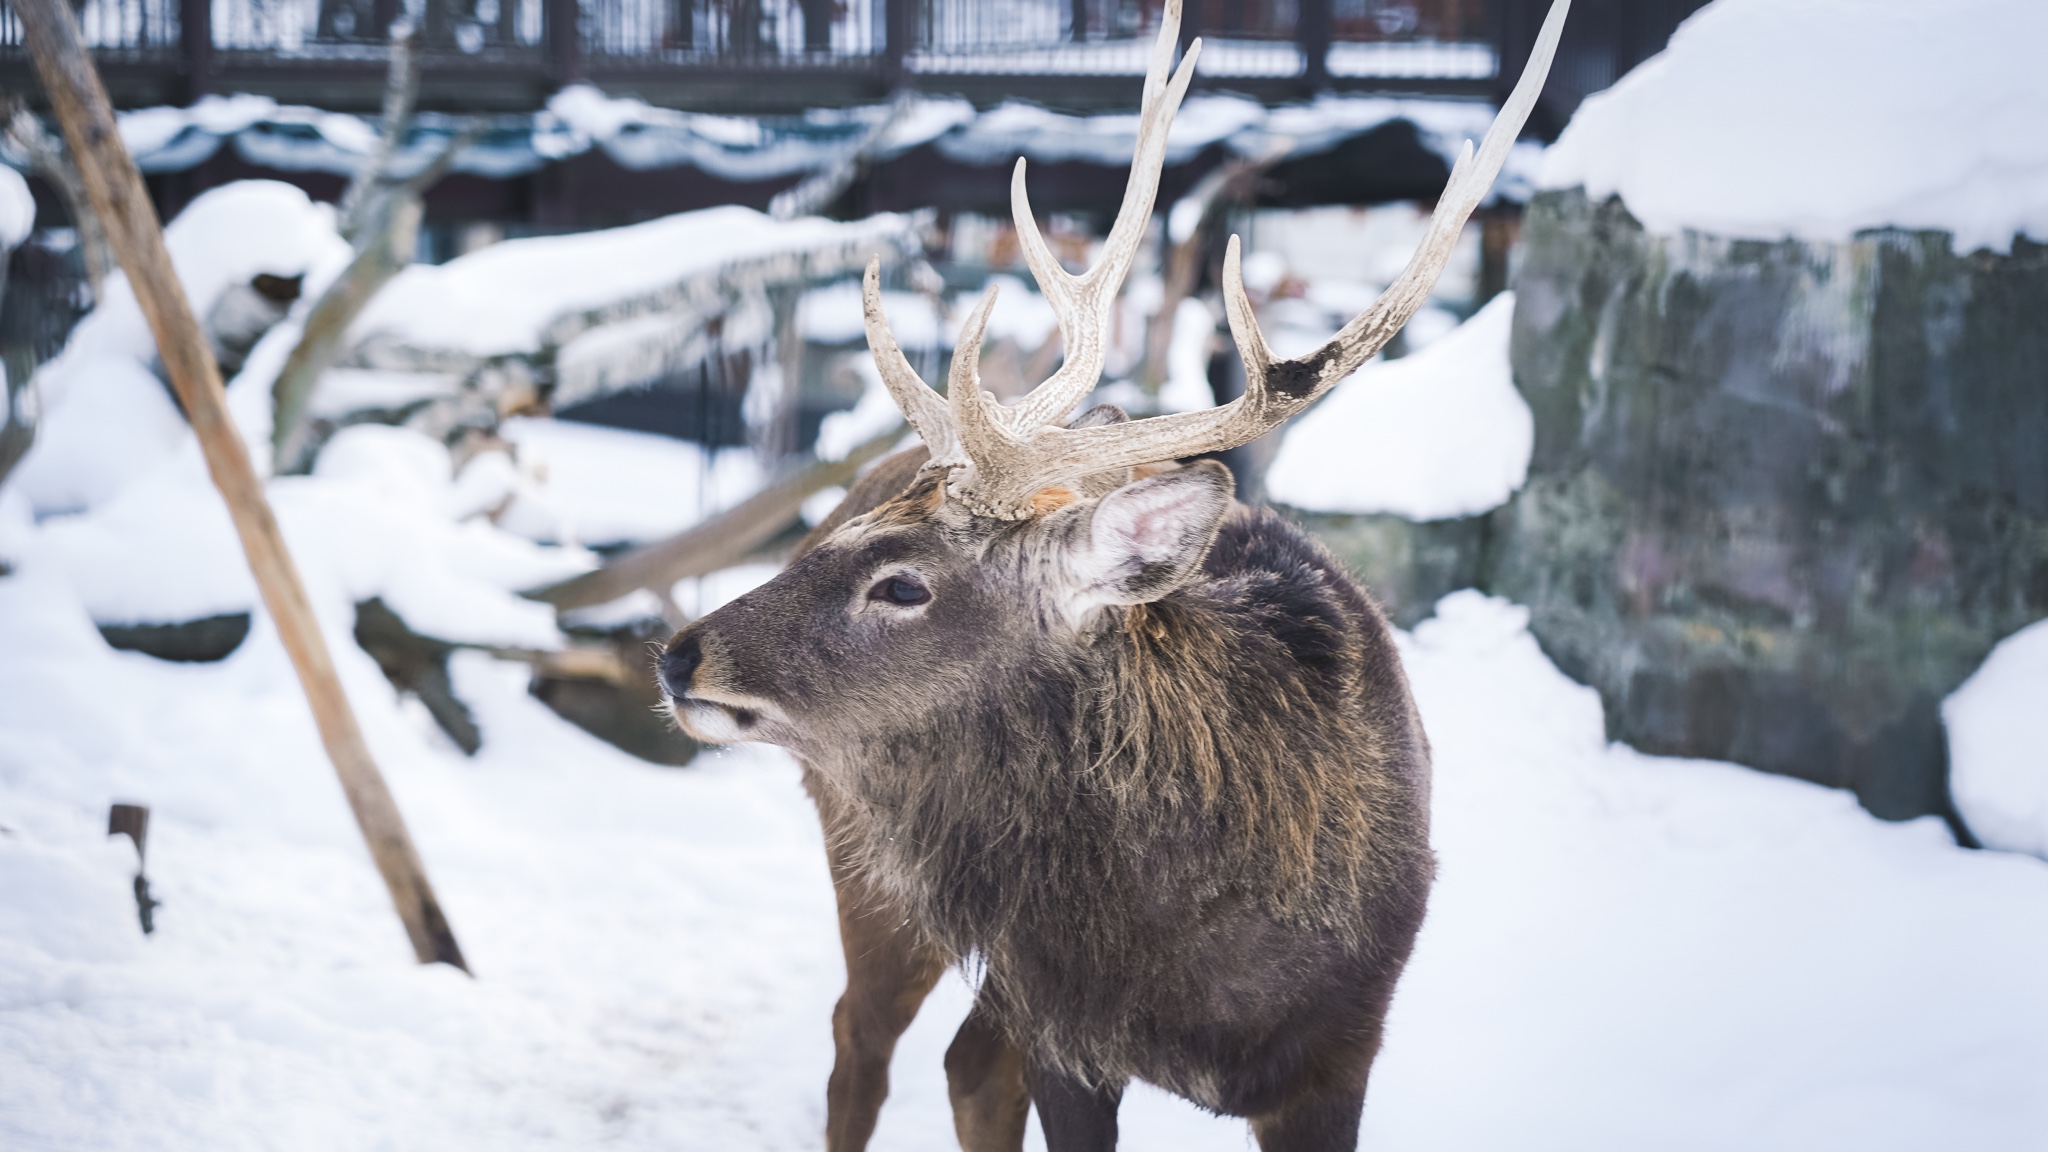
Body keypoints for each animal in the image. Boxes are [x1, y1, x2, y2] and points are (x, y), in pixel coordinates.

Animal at [655, 4, 1564, 1139]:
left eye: (902, 583)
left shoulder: (1340, 1051)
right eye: (841, 545)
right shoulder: (1066, 1037)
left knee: (961, 1060)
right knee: (860, 1041)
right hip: (867, 850)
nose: (678, 655)